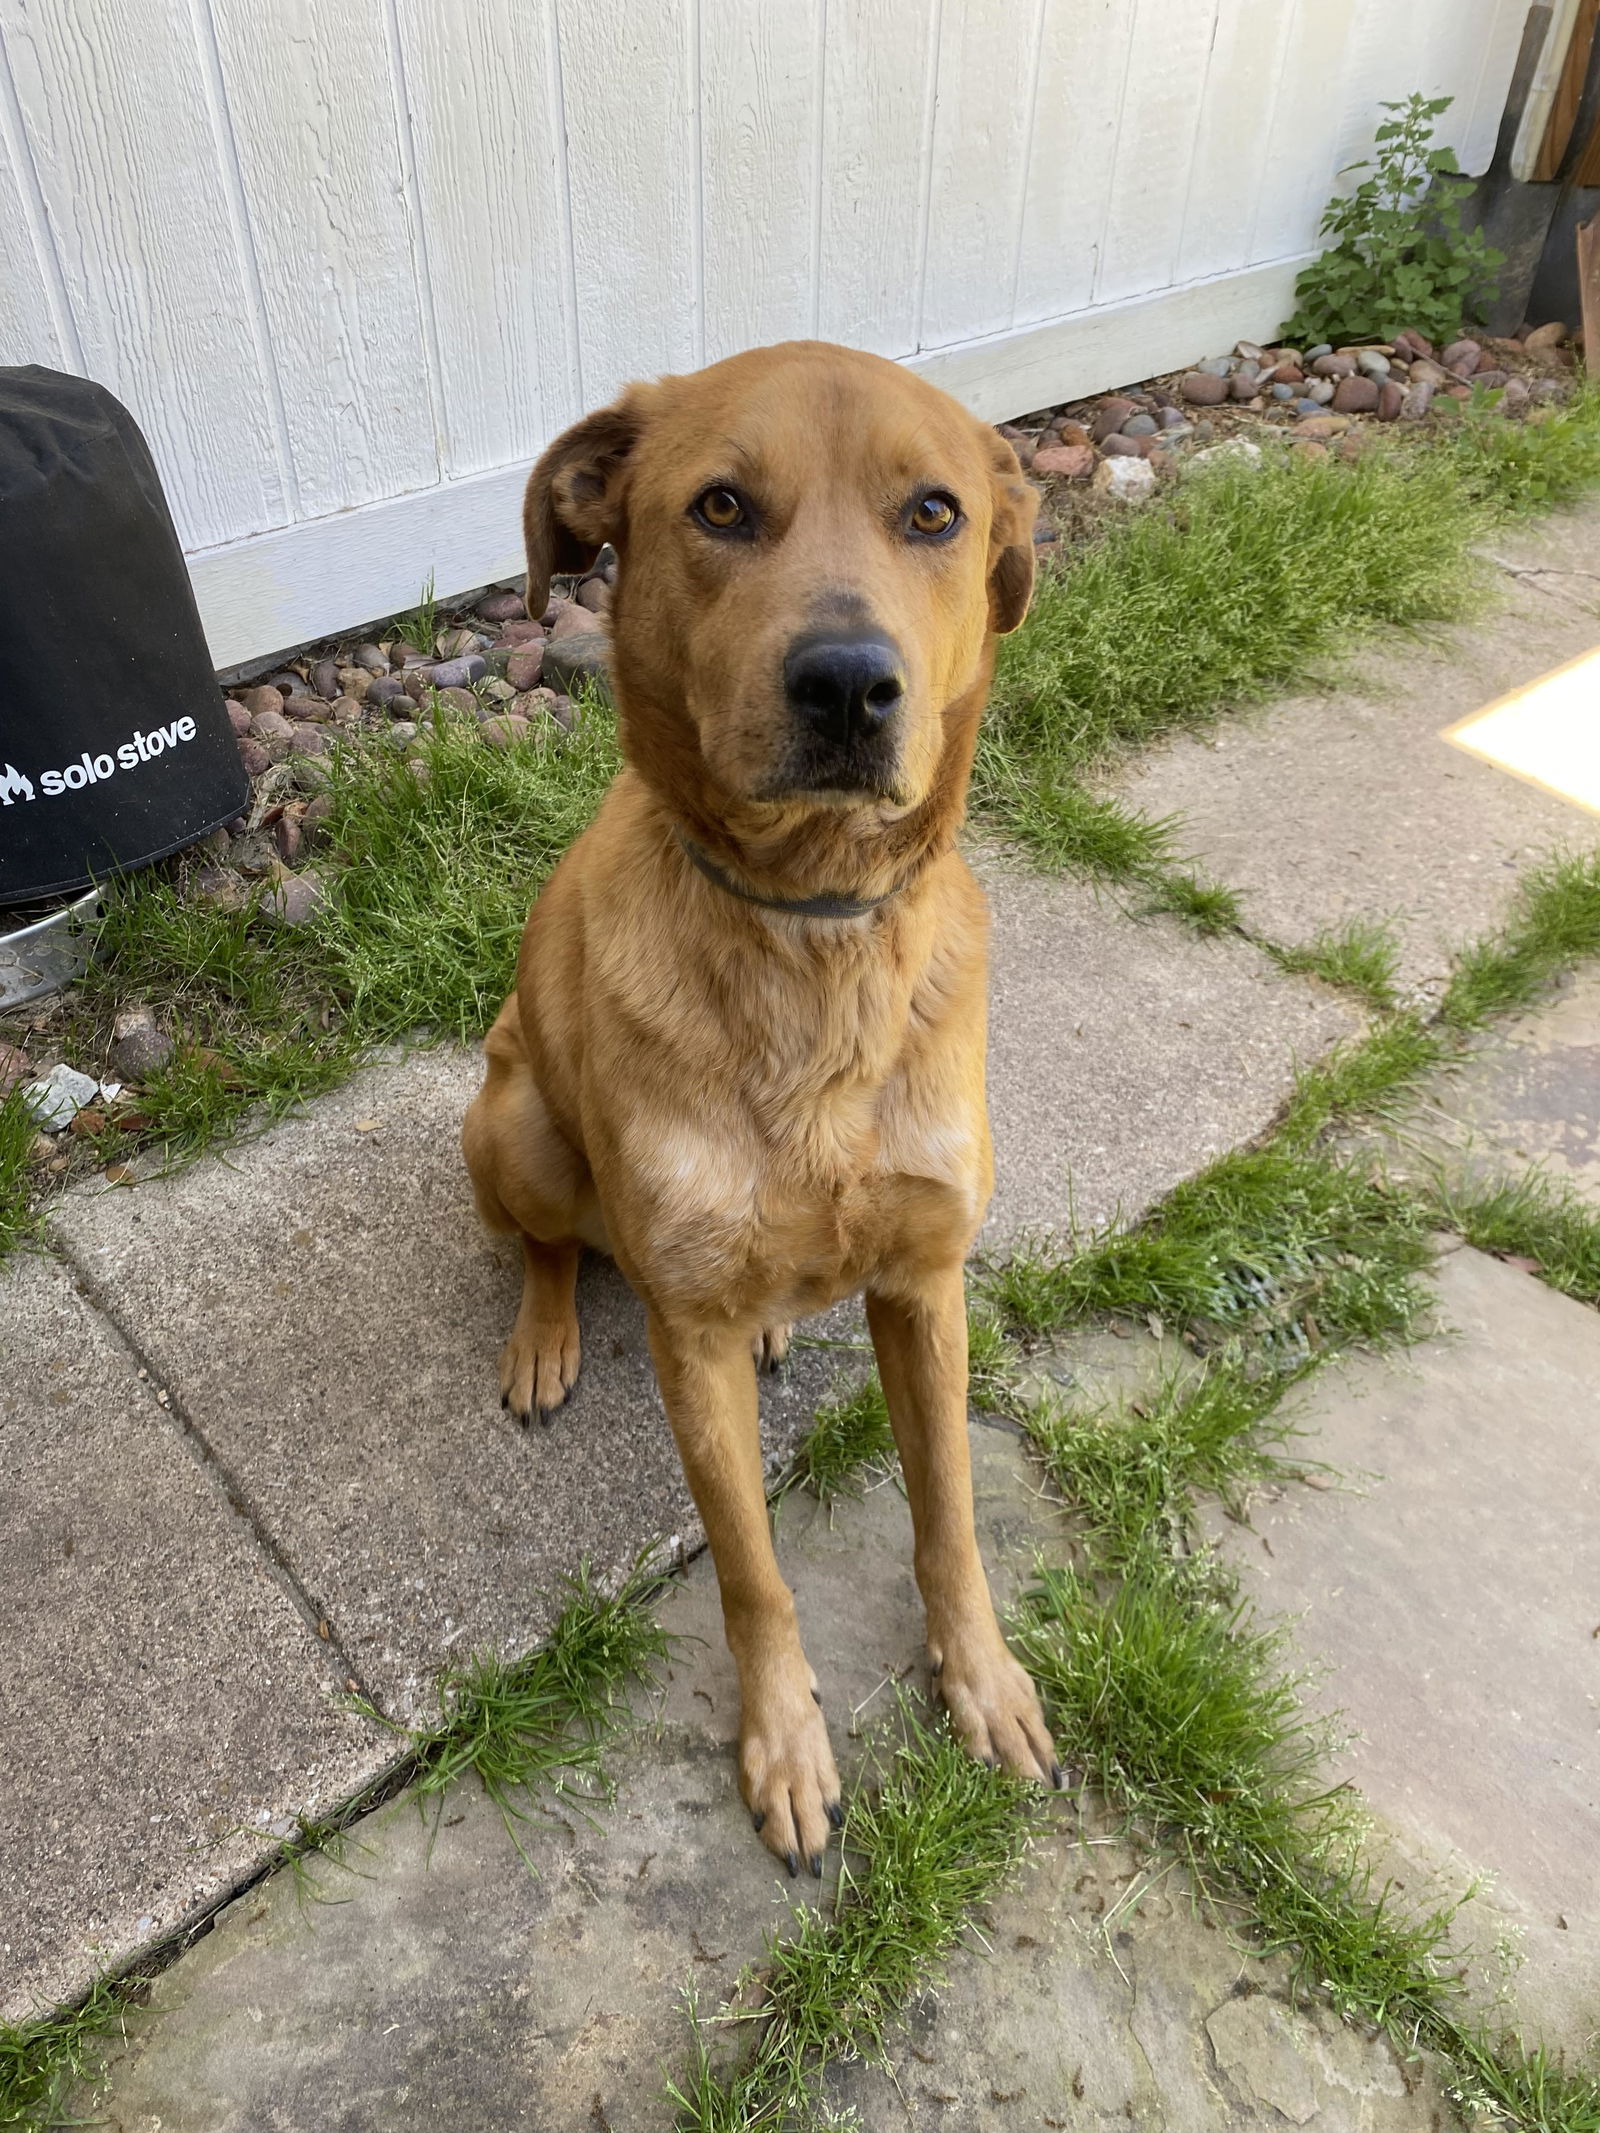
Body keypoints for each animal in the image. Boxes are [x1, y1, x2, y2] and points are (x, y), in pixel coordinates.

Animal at [462, 341, 1066, 1877]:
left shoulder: (926, 1283)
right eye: (721, 507)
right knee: (545, 1243)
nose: (848, 684)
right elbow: (753, 1576)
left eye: (934, 511)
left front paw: (982, 1679)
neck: (810, 937)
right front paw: (786, 1744)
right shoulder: (688, 1341)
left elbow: (950, 1517)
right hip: (517, 1126)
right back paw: (546, 1335)